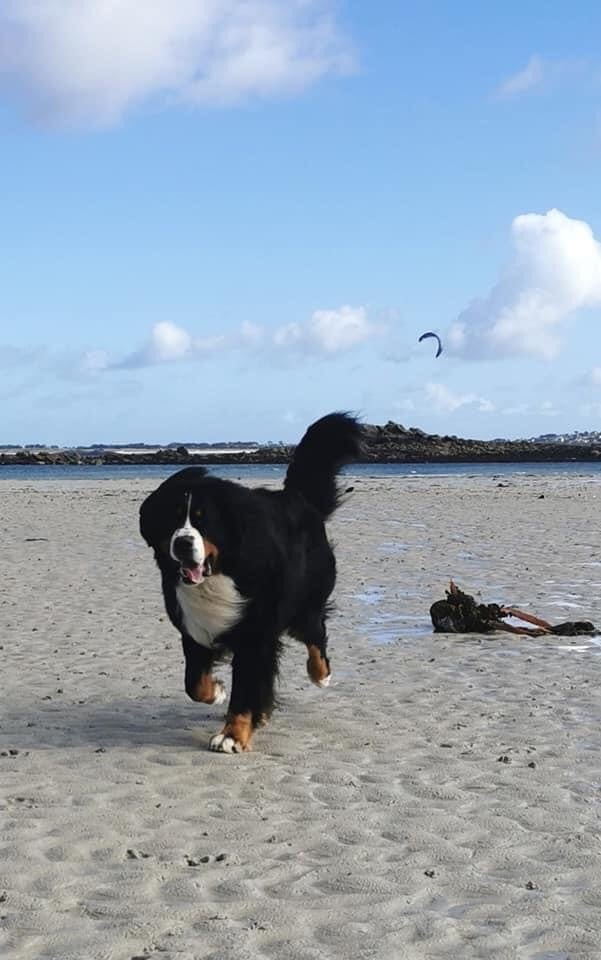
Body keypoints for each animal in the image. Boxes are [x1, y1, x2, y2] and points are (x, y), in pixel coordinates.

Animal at [139, 412, 362, 753]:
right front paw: (218, 691)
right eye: (173, 519)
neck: (220, 576)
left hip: (303, 605)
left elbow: (246, 688)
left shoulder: (255, 635)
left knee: (316, 635)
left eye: (203, 519)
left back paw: (320, 675)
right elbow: (194, 683)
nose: (182, 543)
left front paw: (233, 735)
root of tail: (297, 498)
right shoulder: (195, 627)